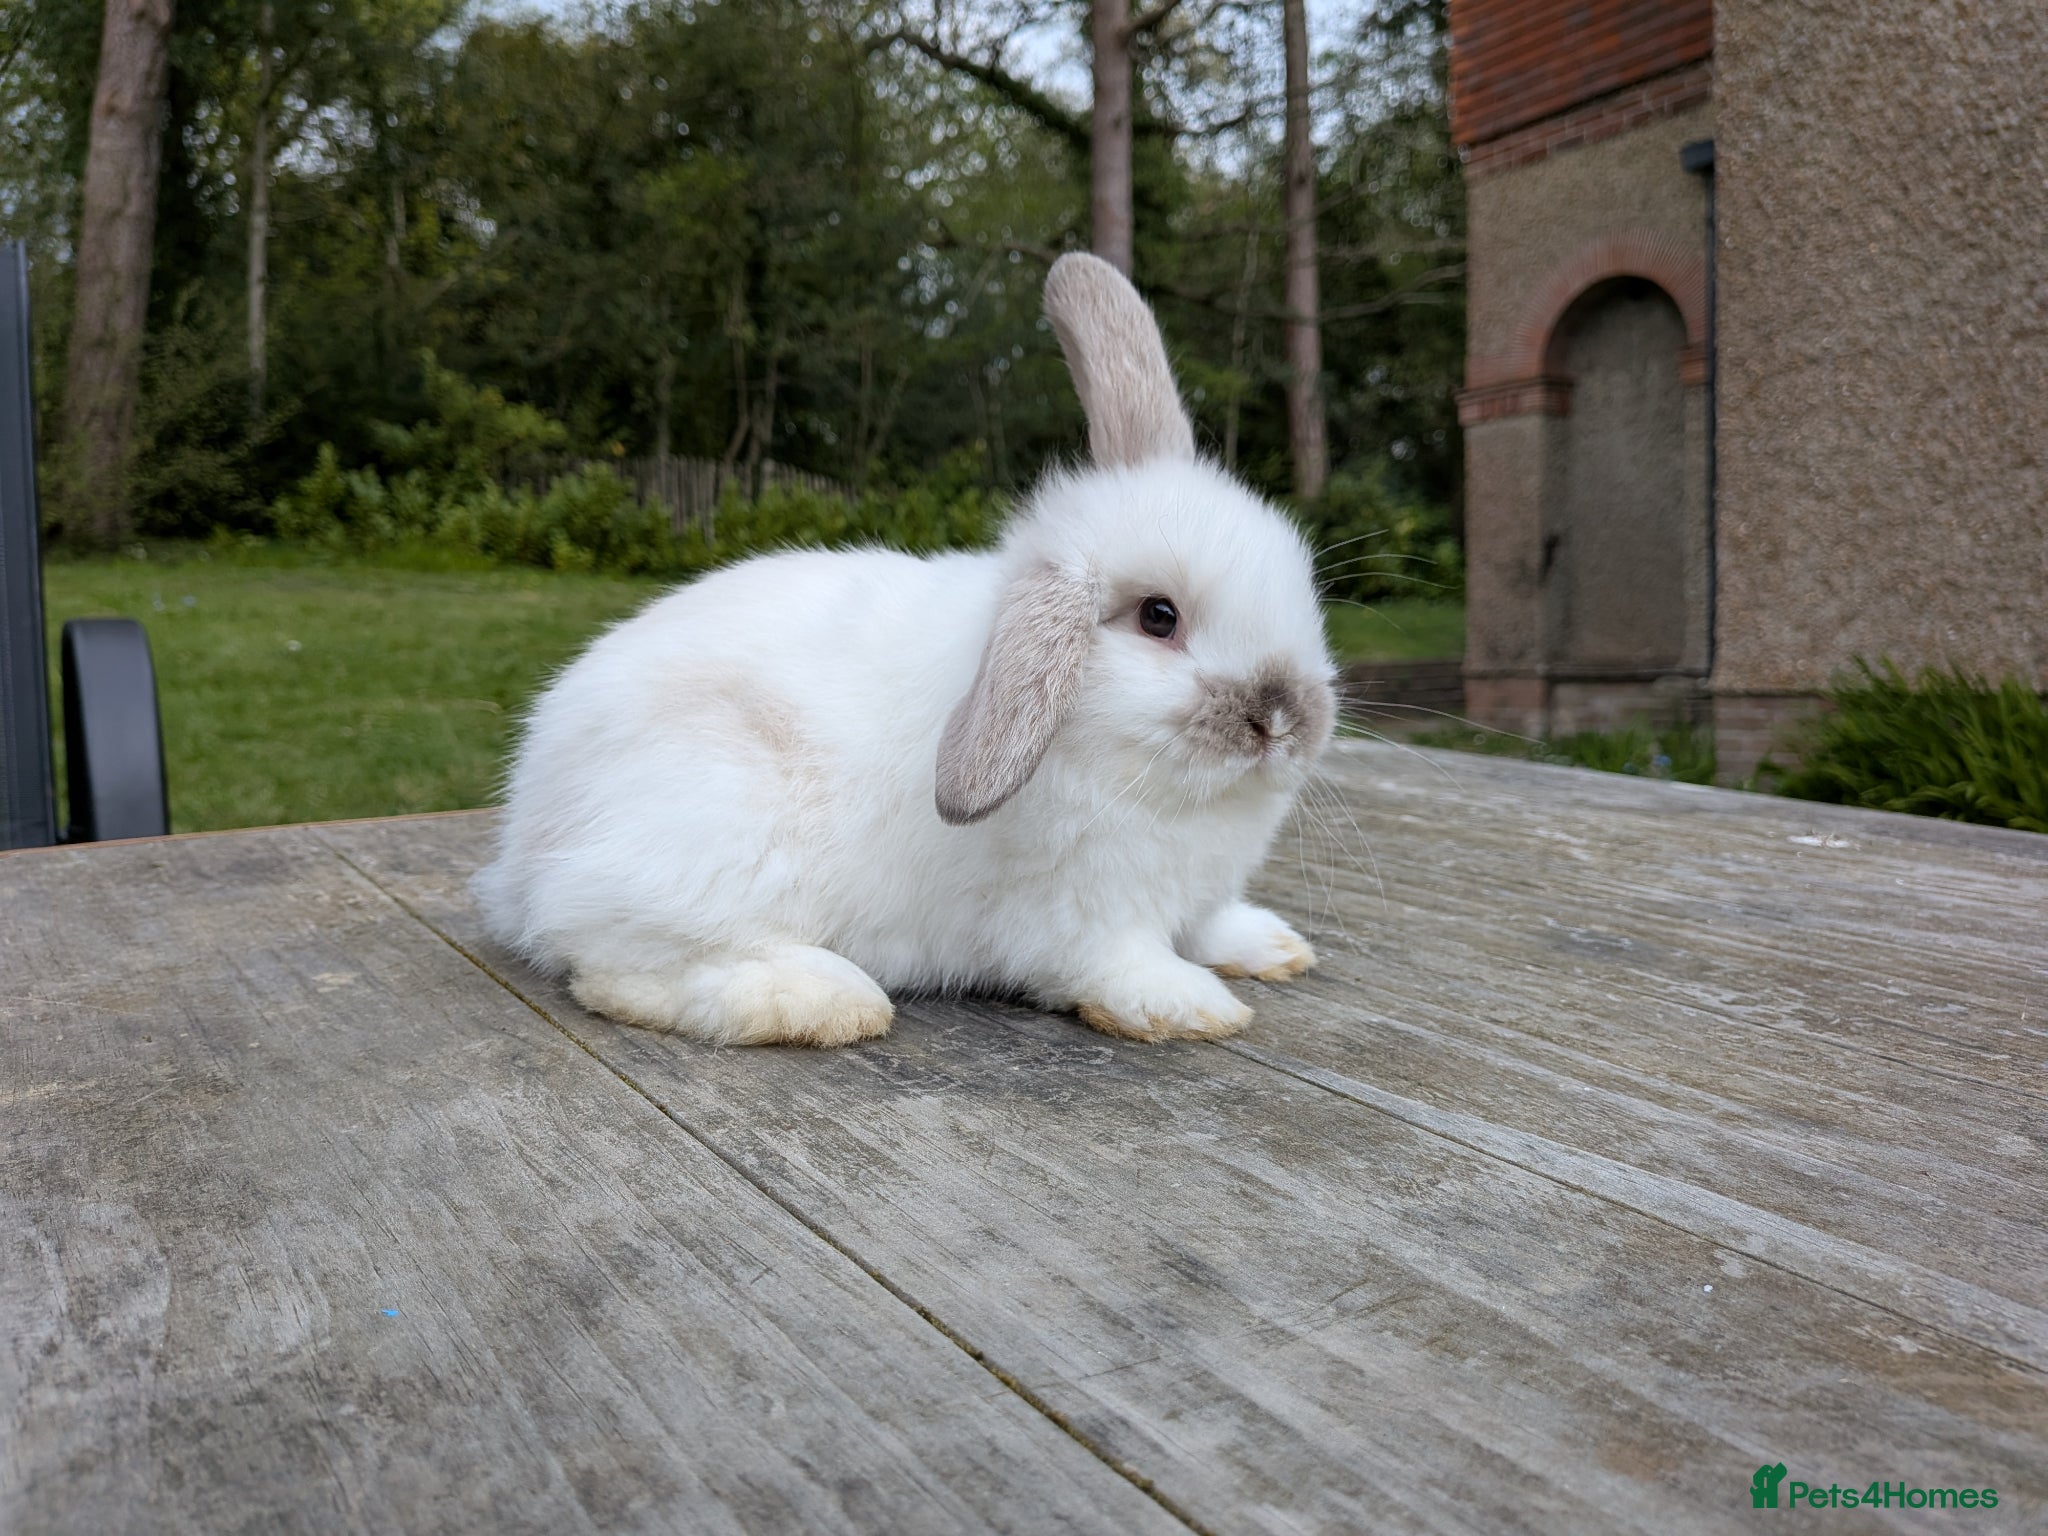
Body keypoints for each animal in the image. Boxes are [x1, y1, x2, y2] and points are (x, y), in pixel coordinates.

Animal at [475, 252, 1337, 1046]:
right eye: (1159, 617)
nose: (1285, 719)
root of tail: (527, 839)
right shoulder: (1080, 913)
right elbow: (1119, 961)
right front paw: (1193, 1007)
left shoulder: (1193, 893)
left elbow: (1209, 923)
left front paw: (1273, 946)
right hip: (709, 836)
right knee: (612, 960)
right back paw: (822, 1001)